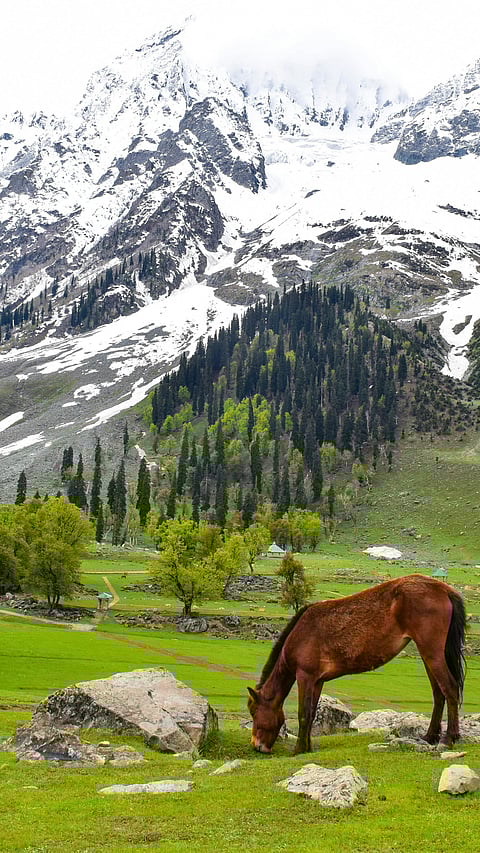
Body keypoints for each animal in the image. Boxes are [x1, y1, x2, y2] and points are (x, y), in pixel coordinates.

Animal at [247, 575, 466, 754]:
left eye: (254, 712)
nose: (257, 746)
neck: (300, 634)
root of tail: (444, 589)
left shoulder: (305, 676)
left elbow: (304, 713)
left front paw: (298, 750)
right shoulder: (317, 681)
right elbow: (311, 714)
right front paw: (307, 747)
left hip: (432, 653)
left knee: (450, 688)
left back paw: (448, 738)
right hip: (428, 655)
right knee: (438, 693)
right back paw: (430, 736)